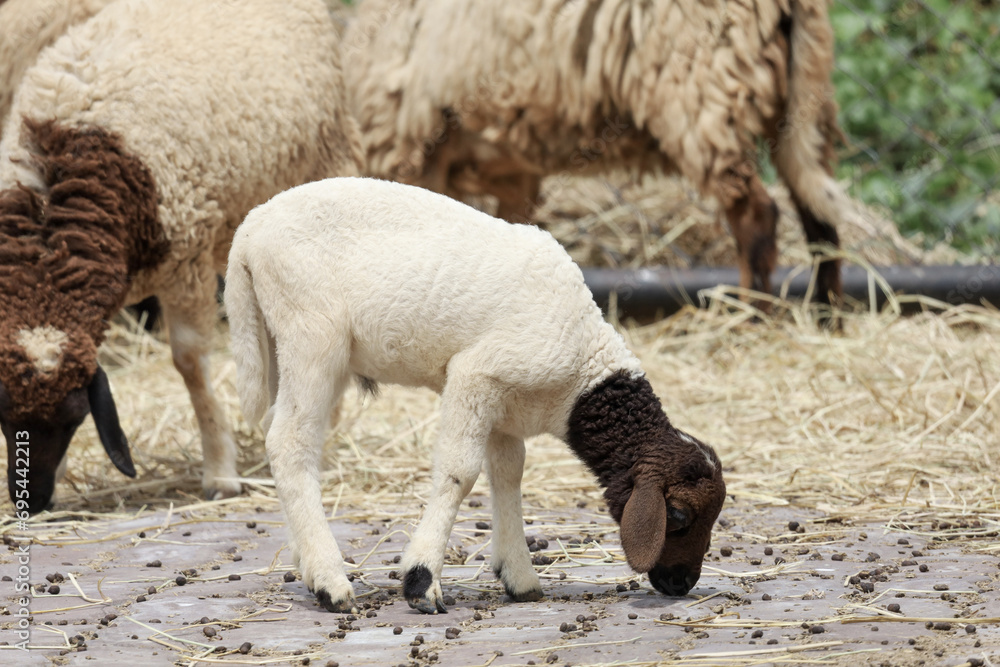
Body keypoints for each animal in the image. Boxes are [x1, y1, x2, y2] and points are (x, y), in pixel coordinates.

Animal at [0, 0, 363, 514]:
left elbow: (190, 364)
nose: (30, 499)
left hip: (323, 166)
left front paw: (220, 472)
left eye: (74, 416)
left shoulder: (185, 261)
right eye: (3, 412)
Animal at [225, 176, 727, 613]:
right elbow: (459, 473)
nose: (682, 584)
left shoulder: (506, 405)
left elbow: (507, 475)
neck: (582, 369)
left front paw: (520, 578)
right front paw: (421, 581)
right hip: (313, 332)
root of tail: (249, 229)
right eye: (678, 515)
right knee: (290, 444)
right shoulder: (475, 375)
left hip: (280, 341)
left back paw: (306, 564)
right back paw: (331, 582)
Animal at [343, 0, 854, 315]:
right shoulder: (511, 172)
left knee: (757, 215)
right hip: (801, 106)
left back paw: (748, 316)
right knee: (819, 216)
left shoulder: (408, 139)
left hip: (703, 96)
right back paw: (826, 314)